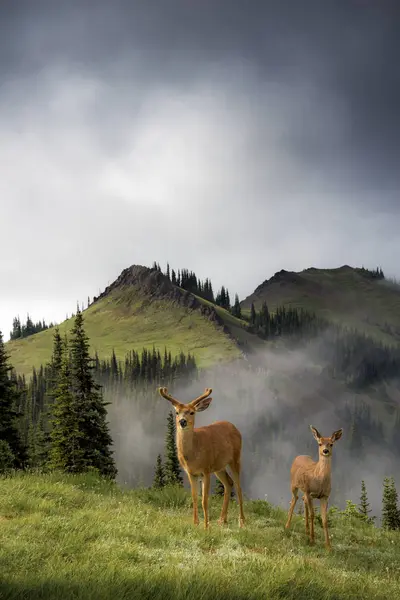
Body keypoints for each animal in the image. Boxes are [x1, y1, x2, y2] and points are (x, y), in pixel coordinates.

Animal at [158, 384, 245, 528]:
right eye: (177, 412)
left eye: (192, 412)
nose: (182, 421)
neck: (192, 454)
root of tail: (234, 427)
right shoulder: (191, 472)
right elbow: (194, 497)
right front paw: (195, 523)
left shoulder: (206, 469)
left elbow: (204, 500)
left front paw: (206, 526)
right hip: (219, 466)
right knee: (229, 483)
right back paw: (222, 520)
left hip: (235, 458)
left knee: (238, 486)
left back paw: (242, 521)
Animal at [284, 424, 344, 552]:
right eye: (320, 443)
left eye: (331, 444)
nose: (325, 451)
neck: (319, 479)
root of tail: (299, 456)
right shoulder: (308, 491)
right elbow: (312, 515)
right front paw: (312, 540)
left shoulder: (325, 496)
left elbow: (324, 520)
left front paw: (328, 546)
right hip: (294, 484)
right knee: (294, 499)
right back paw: (287, 525)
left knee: (302, 499)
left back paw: (306, 530)